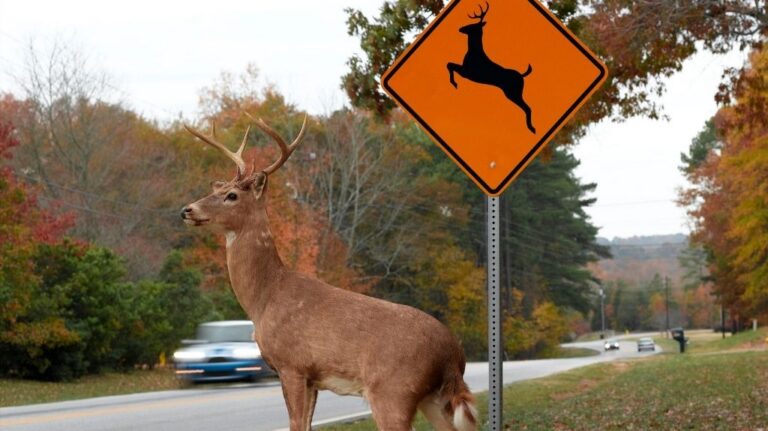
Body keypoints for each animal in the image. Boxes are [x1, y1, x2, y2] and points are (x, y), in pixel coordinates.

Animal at [180, 114, 478, 431]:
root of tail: (453, 355)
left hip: (393, 390)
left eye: (232, 195)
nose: (187, 209)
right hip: (433, 399)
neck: (265, 297)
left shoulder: (292, 364)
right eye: (216, 190)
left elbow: (296, 423)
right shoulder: (313, 378)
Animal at [447, 1, 536, 134]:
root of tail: (522, 75)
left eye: (472, 25)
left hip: (513, 92)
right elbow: (449, 64)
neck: (473, 52)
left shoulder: (467, 72)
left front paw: (454, 83)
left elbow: (449, 65)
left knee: (527, 108)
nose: (460, 28)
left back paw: (532, 128)